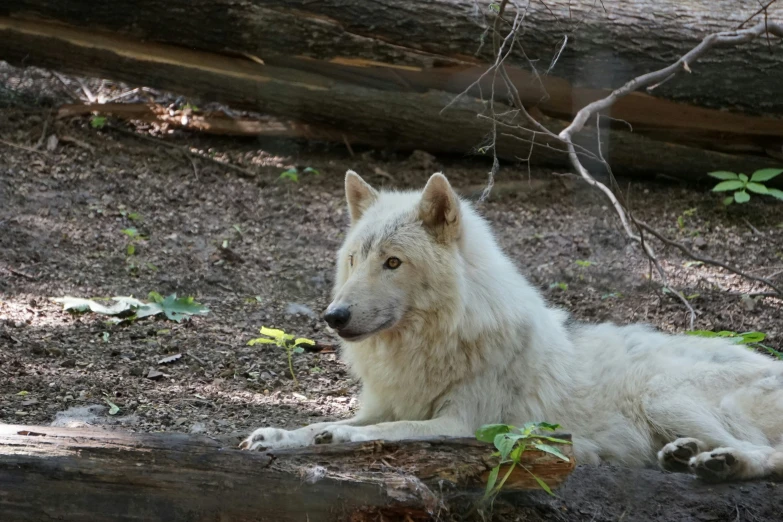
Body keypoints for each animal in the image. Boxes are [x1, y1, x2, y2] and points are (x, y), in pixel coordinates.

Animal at [242, 171, 783, 480]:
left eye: (393, 263)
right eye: (355, 260)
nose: (334, 317)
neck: (432, 344)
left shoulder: (464, 424)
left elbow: (393, 431)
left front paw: (335, 438)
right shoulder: (383, 404)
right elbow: (322, 421)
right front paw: (278, 435)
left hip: (662, 394)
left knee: (767, 453)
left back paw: (724, 464)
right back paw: (682, 455)